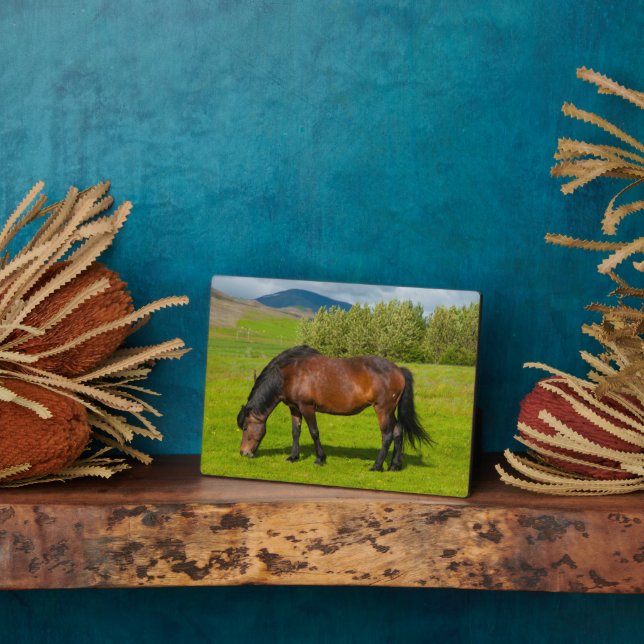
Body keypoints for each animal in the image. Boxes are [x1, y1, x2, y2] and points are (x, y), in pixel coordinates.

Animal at [236, 345, 431, 471]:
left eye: (245, 427)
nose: (243, 453)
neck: (291, 373)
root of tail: (398, 370)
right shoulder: (295, 408)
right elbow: (295, 432)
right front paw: (293, 457)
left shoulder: (307, 407)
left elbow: (314, 432)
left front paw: (319, 459)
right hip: (390, 411)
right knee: (398, 431)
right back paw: (394, 465)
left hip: (382, 410)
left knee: (387, 435)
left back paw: (377, 466)